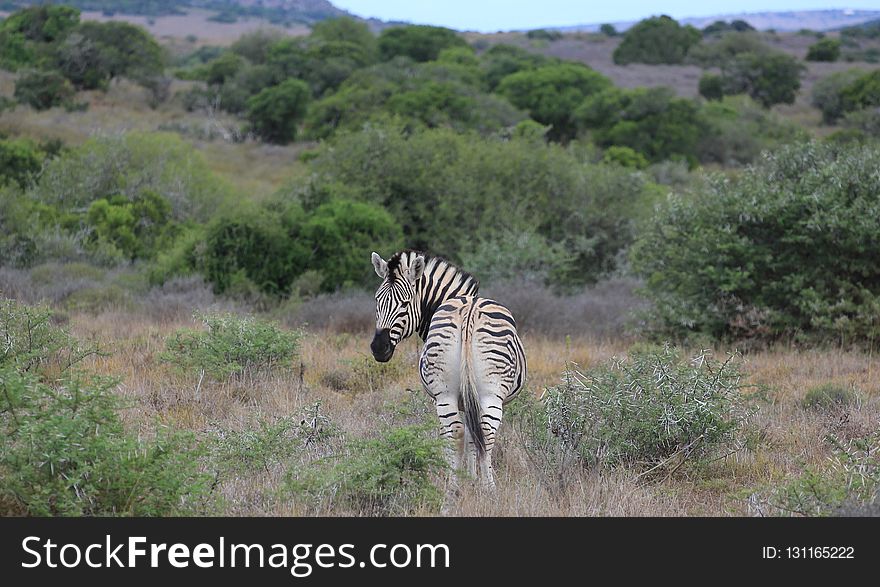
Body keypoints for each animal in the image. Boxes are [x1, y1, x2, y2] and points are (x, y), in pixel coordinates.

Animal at [368, 249, 524, 492]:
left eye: (405, 303)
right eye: (377, 300)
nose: (378, 348)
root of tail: (469, 311)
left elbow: (466, 437)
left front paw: (470, 479)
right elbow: (471, 438)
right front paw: (472, 479)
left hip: (447, 394)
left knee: (461, 433)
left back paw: (458, 488)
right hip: (486, 393)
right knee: (481, 433)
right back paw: (484, 488)